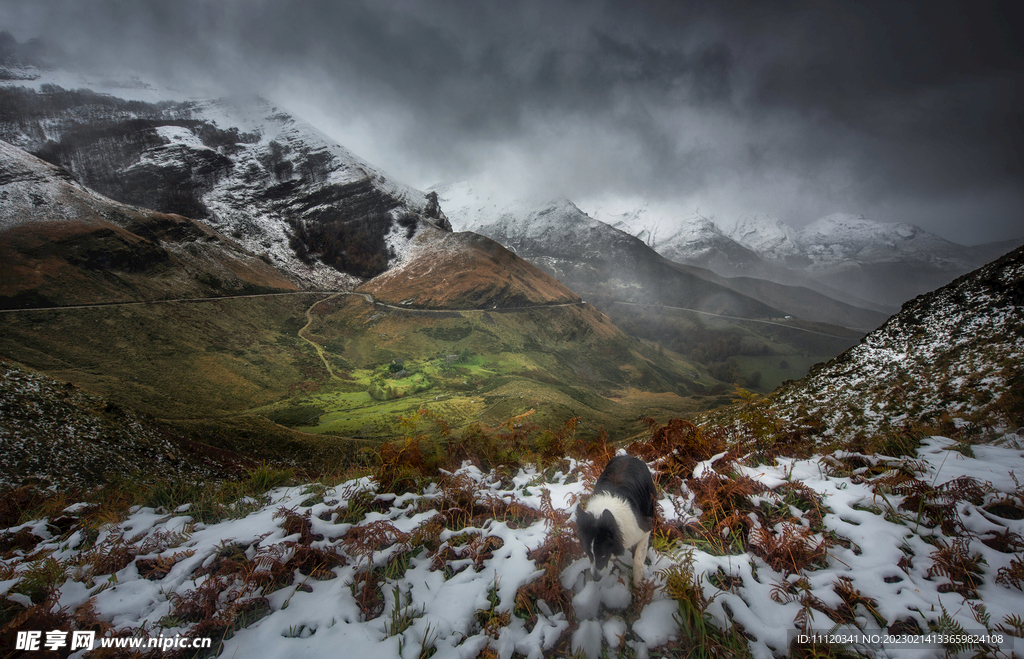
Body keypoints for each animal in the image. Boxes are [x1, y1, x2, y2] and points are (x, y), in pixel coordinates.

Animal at [577, 452, 655, 585]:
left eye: (603, 555)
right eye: (589, 554)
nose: (596, 578)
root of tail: (628, 456)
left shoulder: (644, 529)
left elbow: (638, 558)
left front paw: (638, 584)